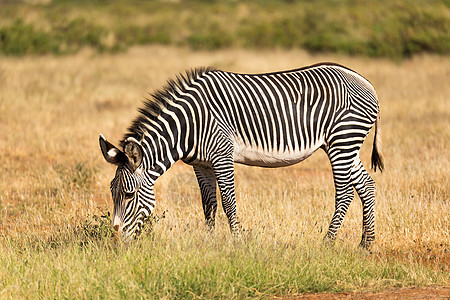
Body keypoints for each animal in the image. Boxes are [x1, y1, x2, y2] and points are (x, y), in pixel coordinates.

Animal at [99, 63, 384, 248]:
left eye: (129, 195)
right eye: (112, 192)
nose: (116, 242)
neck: (189, 125)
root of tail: (365, 81)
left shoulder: (222, 156)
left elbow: (228, 202)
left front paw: (236, 244)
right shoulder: (201, 165)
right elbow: (209, 204)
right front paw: (209, 243)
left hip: (342, 141)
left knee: (345, 192)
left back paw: (327, 243)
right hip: (345, 145)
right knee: (367, 185)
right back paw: (366, 244)